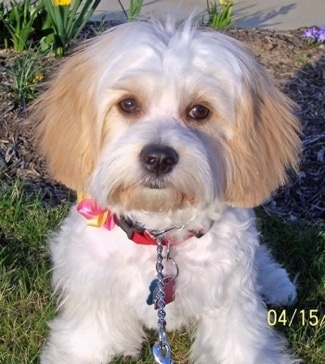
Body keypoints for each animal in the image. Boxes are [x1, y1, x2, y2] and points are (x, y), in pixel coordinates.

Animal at [34, 17, 300, 364]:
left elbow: (242, 347)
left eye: (199, 111)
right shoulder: (95, 298)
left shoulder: (231, 306)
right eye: (128, 104)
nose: (158, 158)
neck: (159, 235)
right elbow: (85, 343)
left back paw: (277, 283)